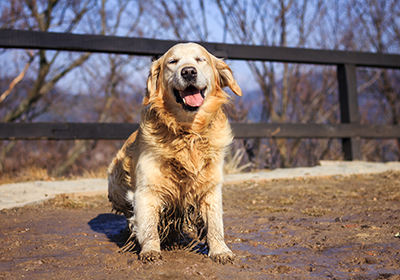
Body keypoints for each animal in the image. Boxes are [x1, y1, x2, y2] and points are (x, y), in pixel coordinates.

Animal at [106, 42, 242, 264]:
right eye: (172, 62)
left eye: (200, 59)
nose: (188, 72)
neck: (187, 131)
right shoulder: (146, 189)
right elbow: (148, 225)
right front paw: (150, 250)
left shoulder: (211, 186)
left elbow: (215, 223)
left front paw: (220, 250)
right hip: (116, 184)